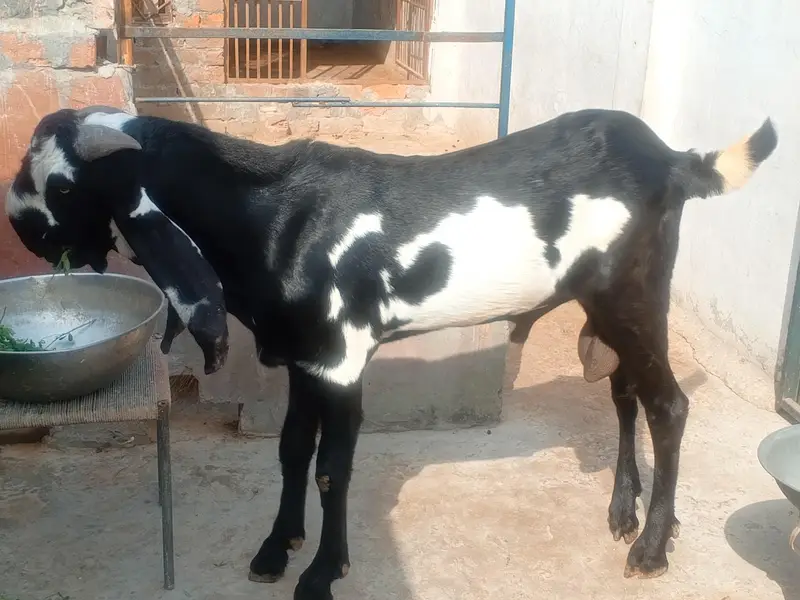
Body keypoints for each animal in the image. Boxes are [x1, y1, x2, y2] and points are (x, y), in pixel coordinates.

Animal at [5, 105, 777, 599]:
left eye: (62, 184)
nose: (22, 230)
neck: (272, 213)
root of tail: (673, 159)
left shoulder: (344, 357)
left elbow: (332, 468)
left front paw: (323, 573)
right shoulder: (306, 357)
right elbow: (291, 451)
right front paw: (276, 549)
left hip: (634, 295)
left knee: (669, 405)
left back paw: (651, 548)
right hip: (608, 303)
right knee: (625, 392)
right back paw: (624, 514)